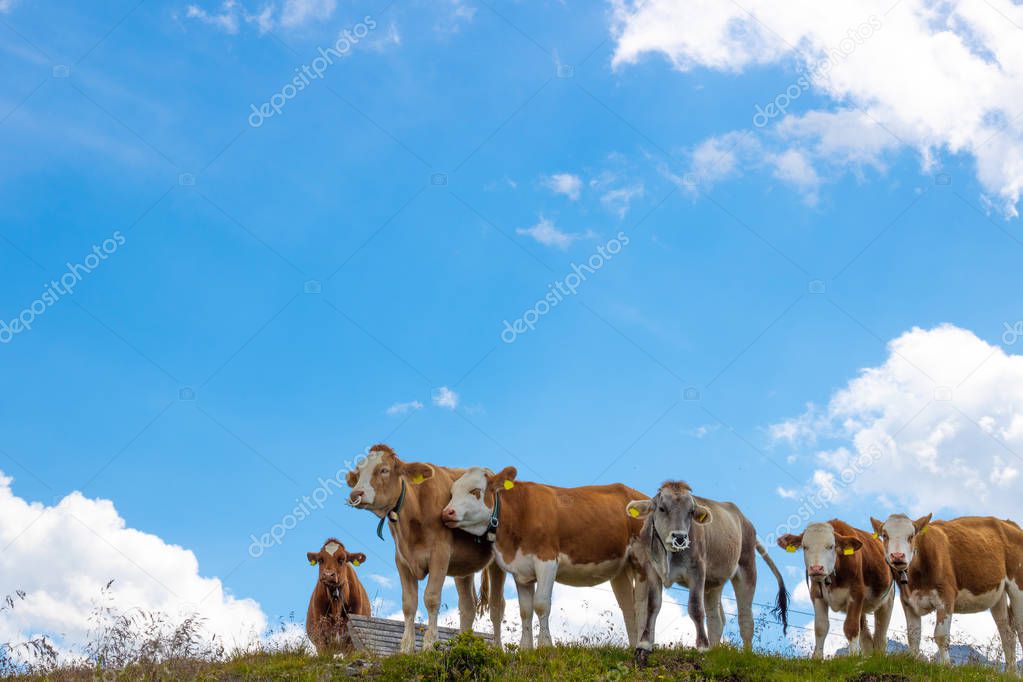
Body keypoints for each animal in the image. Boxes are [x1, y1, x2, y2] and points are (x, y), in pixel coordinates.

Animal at [345, 445, 505, 654]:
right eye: (358, 473)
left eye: (384, 470)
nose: (355, 494)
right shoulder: (402, 560)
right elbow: (408, 603)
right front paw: (406, 648)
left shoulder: (440, 554)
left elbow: (431, 598)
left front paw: (430, 645)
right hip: (463, 568)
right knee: (467, 607)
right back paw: (463, 645)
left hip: (498, 563)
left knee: (496, 606)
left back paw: (498, 649)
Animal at [437, 466, 646, 650]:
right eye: (452, 493)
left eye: (475, 491)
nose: (447, 512)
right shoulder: (521, 570)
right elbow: (525, 610)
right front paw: (525, 648)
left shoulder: (547, 561)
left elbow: (541, 604)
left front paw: (545, 646)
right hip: (621, 570)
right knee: (629, 606)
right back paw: (632, 647)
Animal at [626, 478, 785, 662]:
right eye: (662, 508)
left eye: (691, 511)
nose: (680, 537)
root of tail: (743, 519)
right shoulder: (651, 569)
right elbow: (652, 606)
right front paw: (644, 645)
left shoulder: (697, 571)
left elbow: (695, 608)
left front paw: (702, 647)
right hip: (714, 583)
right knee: (716, 618)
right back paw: (715, 650)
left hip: (747, 568)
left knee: (745, 618)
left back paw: (746, 654)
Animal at [777, 519, 892, 658]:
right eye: (805, 546)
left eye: (830, 546)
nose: (816, 568)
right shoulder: (816, 594)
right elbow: (820, 627)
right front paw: (816, 658)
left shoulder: (856, 594)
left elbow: (851, 627)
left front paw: (853, 657)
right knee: (866, 636)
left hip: (886, 601)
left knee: (880, 635)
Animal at [871, 511, 1023, 666]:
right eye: (885, 535)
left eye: (911, 536)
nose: (897, 556)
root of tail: (1009, 523)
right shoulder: (908, 601)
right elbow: (913, 636)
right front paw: (914, 661)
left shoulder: (946, 595)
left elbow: (941, 635)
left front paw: (946, 665)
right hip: (998, 595)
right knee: (1008, 635)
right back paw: (1011, 672)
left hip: (1018, 588)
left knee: (1020, 630)